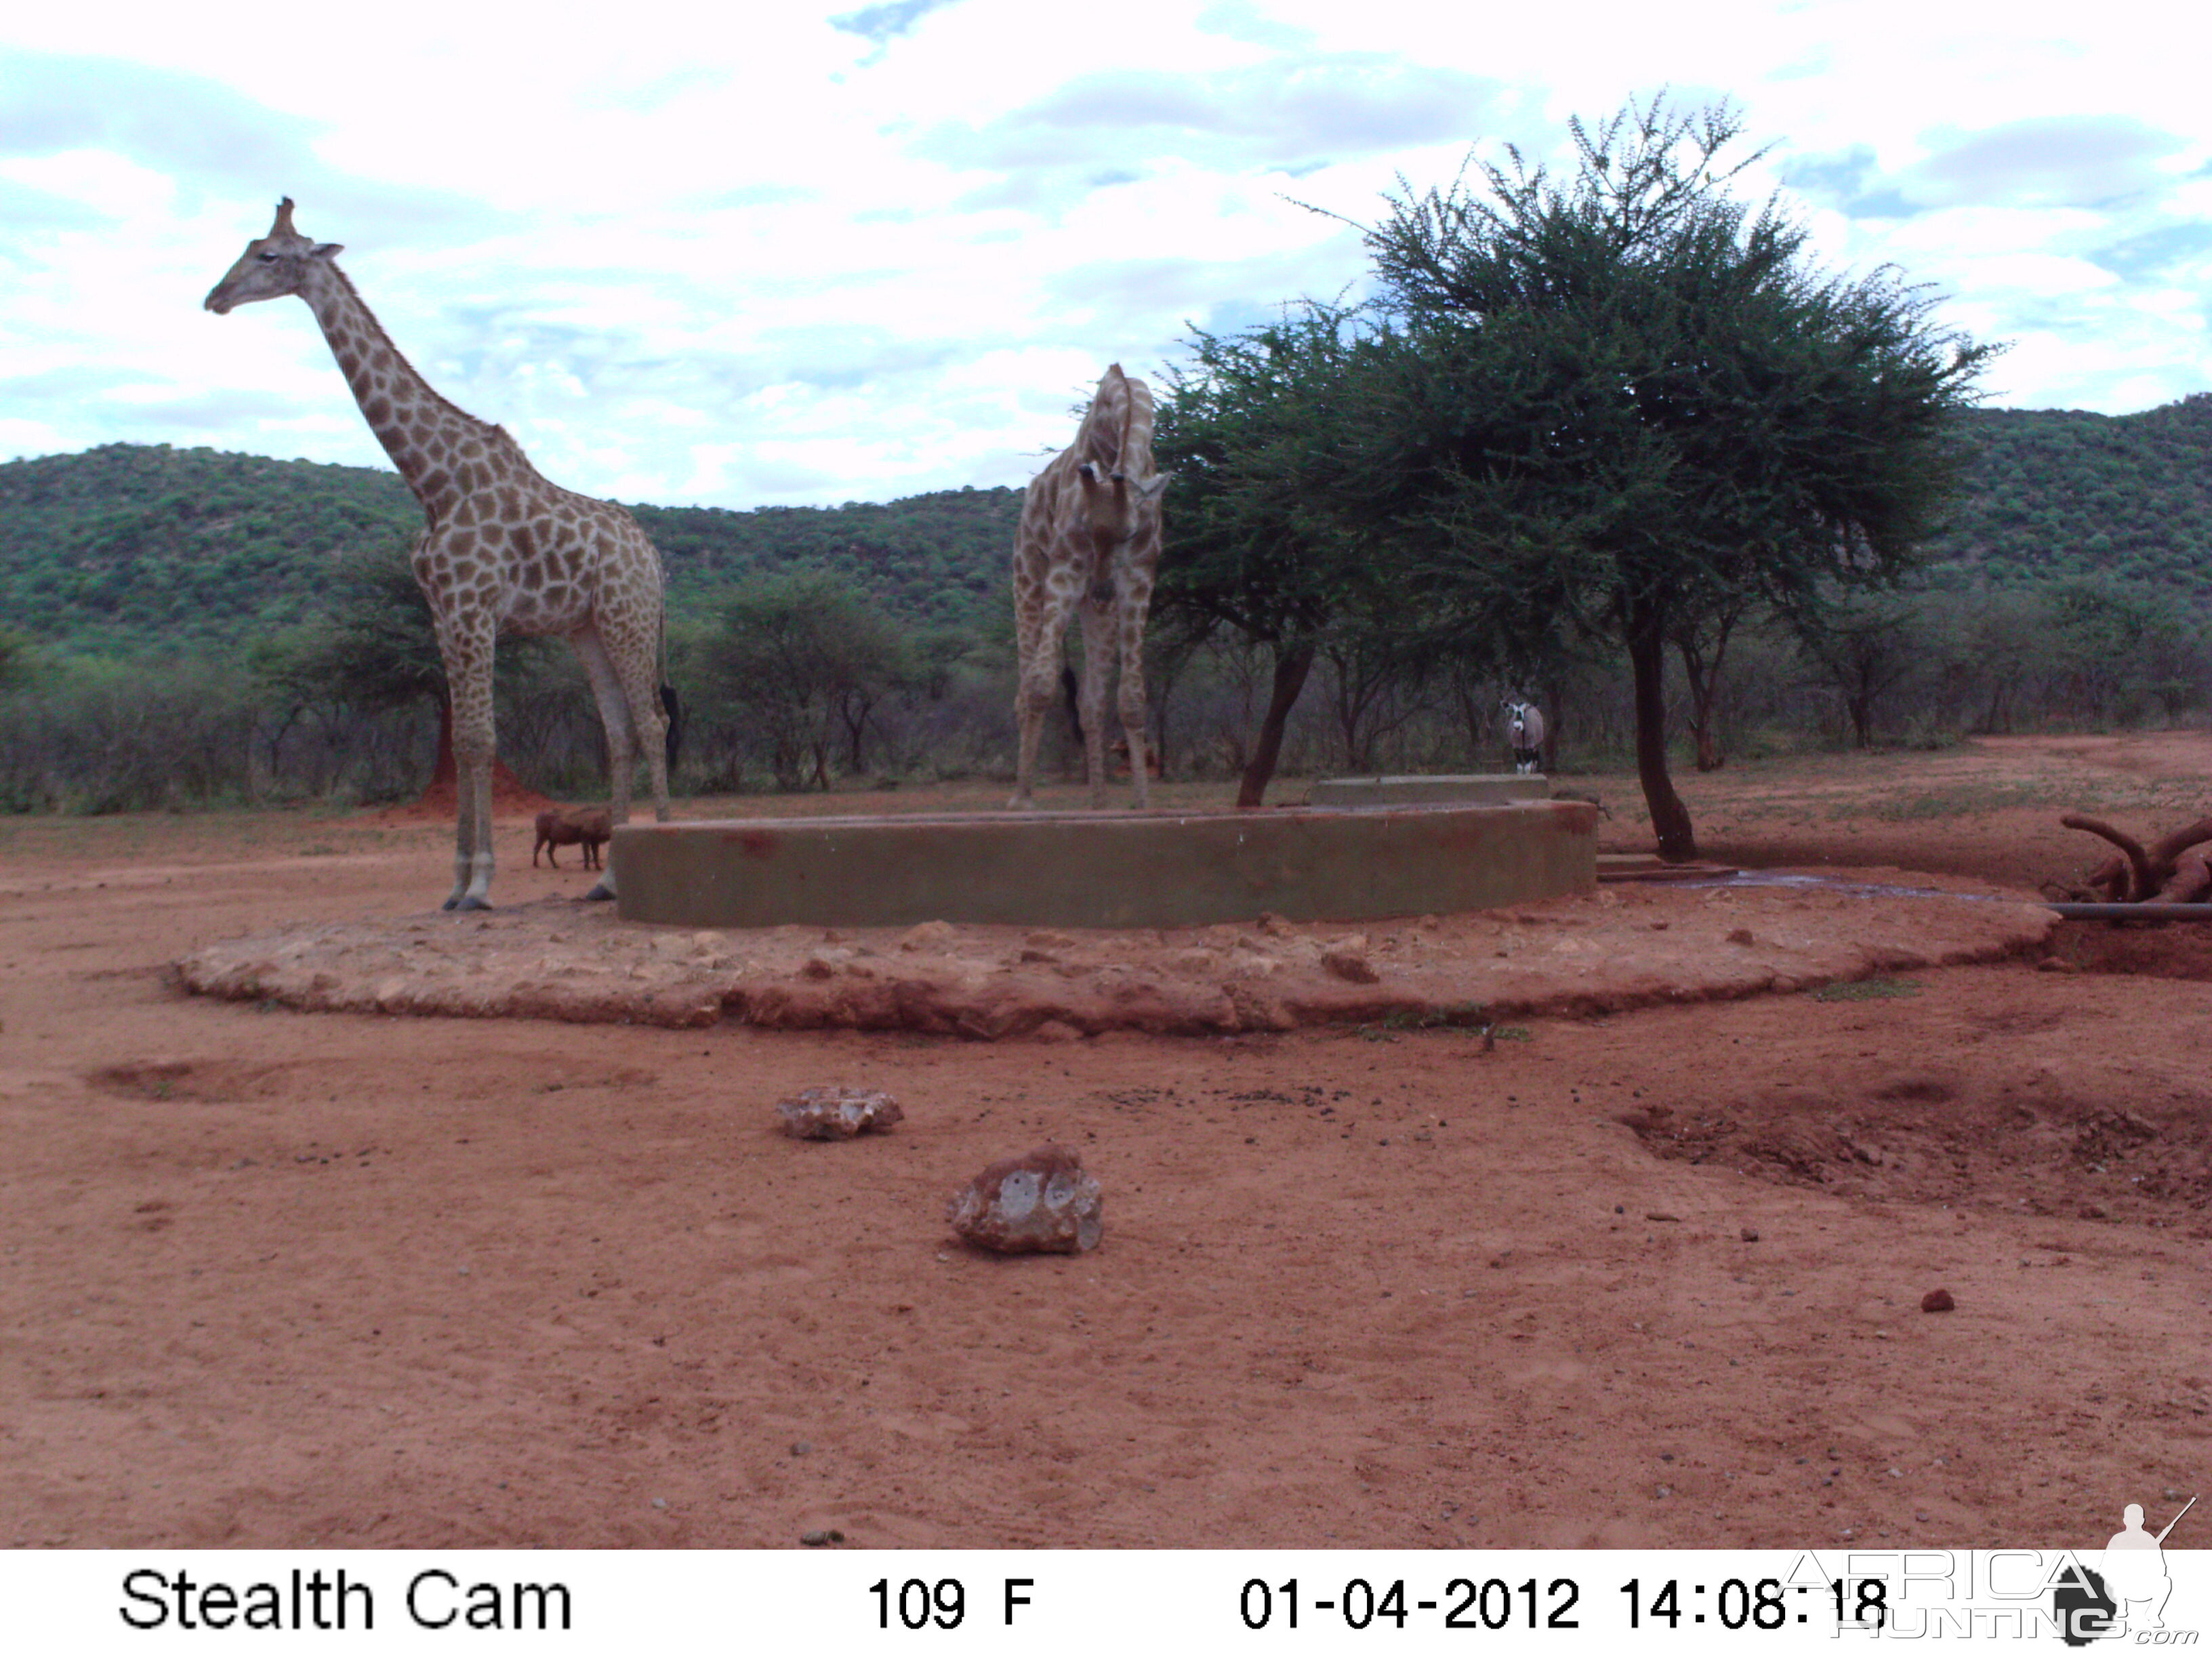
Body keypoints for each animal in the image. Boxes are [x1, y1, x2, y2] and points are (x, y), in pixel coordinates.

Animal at [207, 204, 672, 924]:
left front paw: (480, 885)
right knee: (620, 731)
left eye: (269, 256)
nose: (215, 298)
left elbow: (480, 740)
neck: (433, 484)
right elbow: (459, 742)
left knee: (652, 723)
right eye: (251, 245)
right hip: (588, 627)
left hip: (629, 617)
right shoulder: (443, 615)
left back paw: (665, 855)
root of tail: (652, 557)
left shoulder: (475, 610)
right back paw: (608, 879)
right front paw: (454, 886)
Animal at [1012, 363, 1168, 814]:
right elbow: (1041, 684)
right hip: (1029, 581)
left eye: (1130, 533)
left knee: (1090, 703)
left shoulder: (1139, 576)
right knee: (1024, 688)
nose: (1100, 588)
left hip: (1096, 611)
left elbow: (1131, 697)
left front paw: (1141, 801)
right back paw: (1020, 793)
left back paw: (1098, 801)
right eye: (1084, 526)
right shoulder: (1066, 567)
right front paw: (1022, 801)